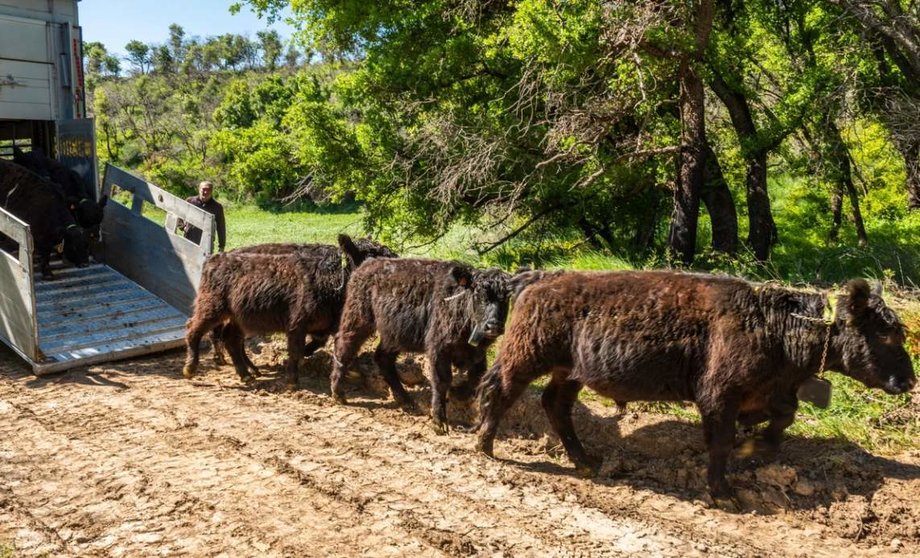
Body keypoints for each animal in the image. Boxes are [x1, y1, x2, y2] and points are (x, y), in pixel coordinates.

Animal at [184, 235, 396, 390]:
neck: (334, 280)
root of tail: (216, 257)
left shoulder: (331, 325)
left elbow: (332, 346)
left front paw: (352, 372)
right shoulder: (297, 323)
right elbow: (296, 350)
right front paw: (292, 381)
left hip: (238, 317)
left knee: (231, 339)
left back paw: (248, 374)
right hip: (212, 307)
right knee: (195, 328)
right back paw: (191, 368)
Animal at [330, 260, 516, 436]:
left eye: (506, 298)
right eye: (479, 294)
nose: (493, 326)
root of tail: (367, 264)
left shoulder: (477, 354)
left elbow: (476, 379)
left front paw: (458, 393)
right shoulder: (438, 350)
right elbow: (442, 381)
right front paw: (439, 423)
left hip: (395, 336)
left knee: (383, 358)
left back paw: (407, 402)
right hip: (358, 320)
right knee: (344, 345)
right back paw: (338, 393)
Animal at [478, 274, 916, 510]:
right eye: (885, 333)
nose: (909, 382)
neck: (774, 324)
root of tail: (540, 279)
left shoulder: (771, 393)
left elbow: (782, 419)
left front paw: (755, 446)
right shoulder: (719, 397)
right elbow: (720, 442)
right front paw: (724, 494)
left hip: (570, 371)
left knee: (556, 405)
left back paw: (585, 461)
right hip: (526, 356)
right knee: (500, 389)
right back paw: (484, 445)